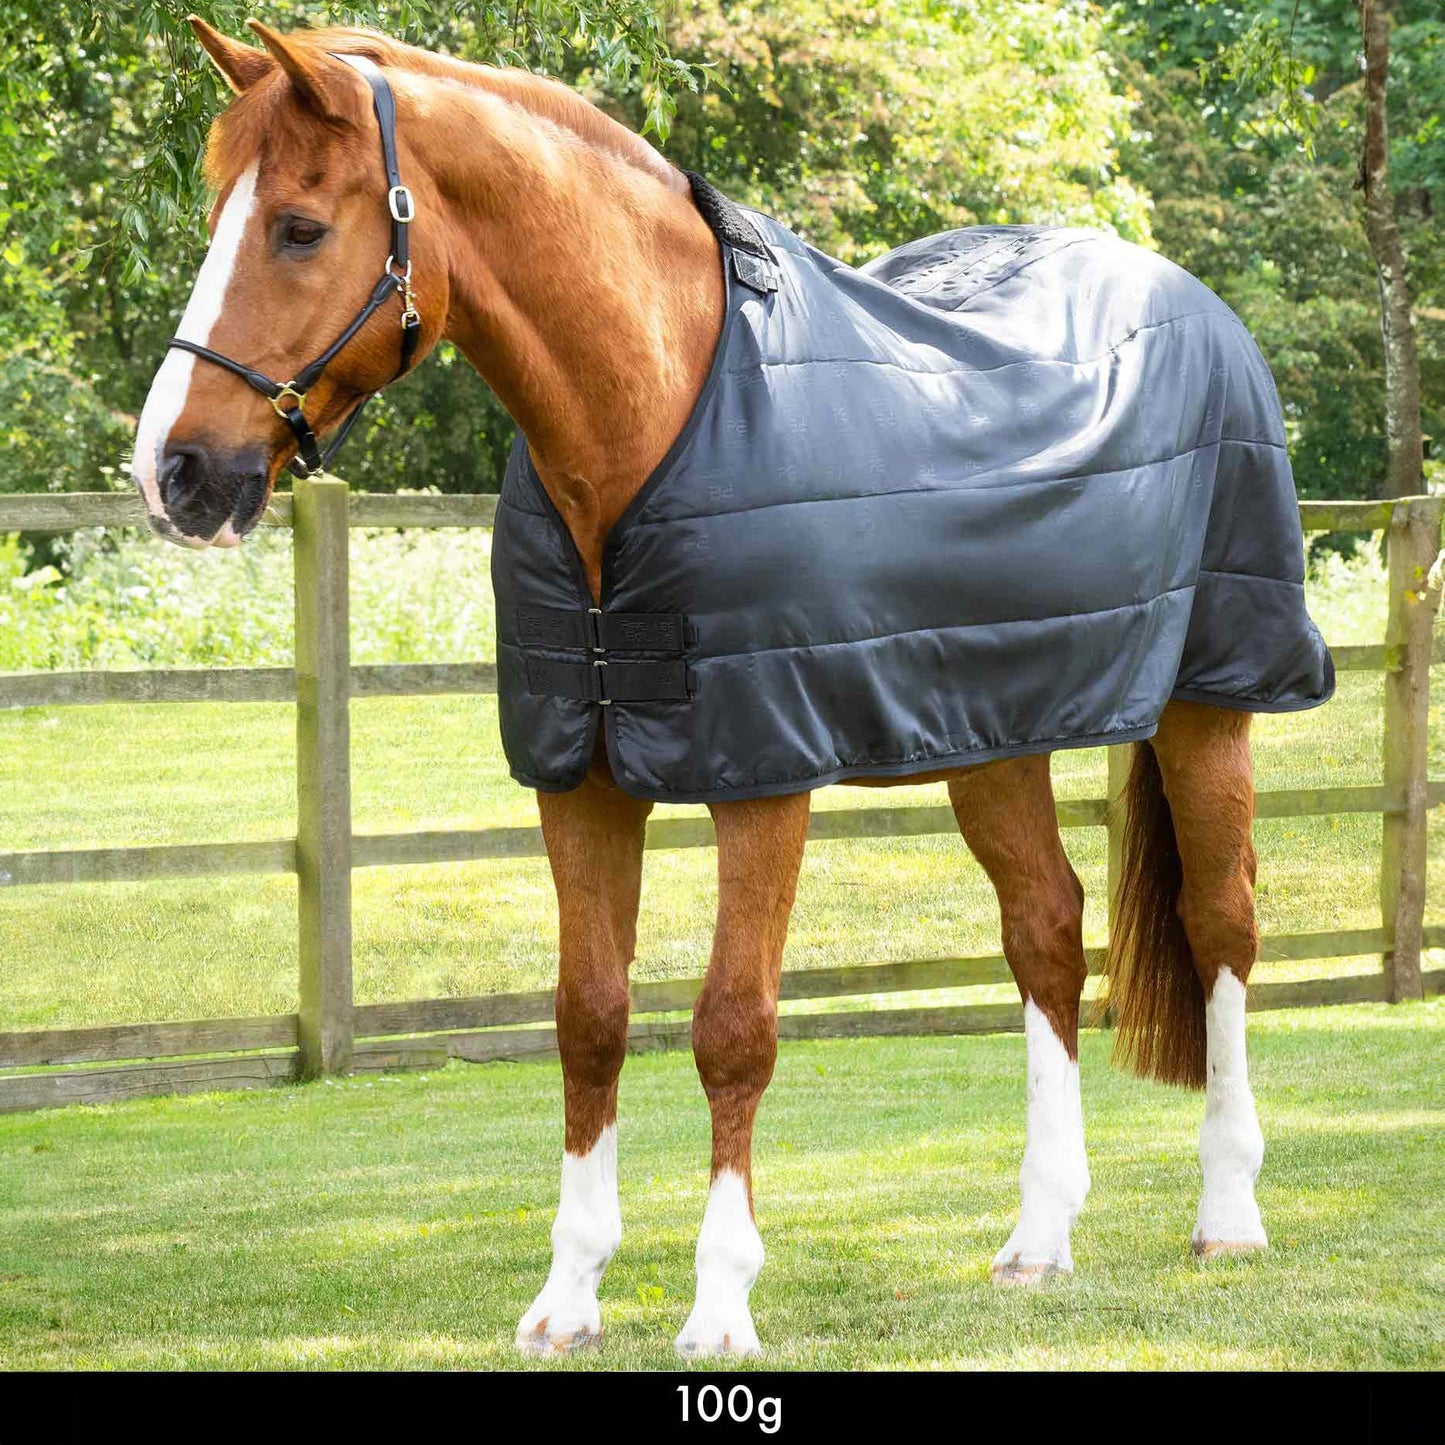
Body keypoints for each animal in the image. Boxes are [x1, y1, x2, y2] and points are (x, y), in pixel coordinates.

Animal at [129, 19, 1331, 1358]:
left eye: (297, 227)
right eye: (218, 213)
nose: (172, 470)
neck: (653, 417)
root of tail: (1194, 305)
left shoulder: (763, 773)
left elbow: (731, 1027)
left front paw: (718, 1303)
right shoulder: (579, 777)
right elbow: (588, 1015)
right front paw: (567, 1295)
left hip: (1207, 700)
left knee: (1221, 923)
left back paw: (1226, 1213)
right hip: (990, 731)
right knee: (1045, 929)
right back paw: (1037, 1236)